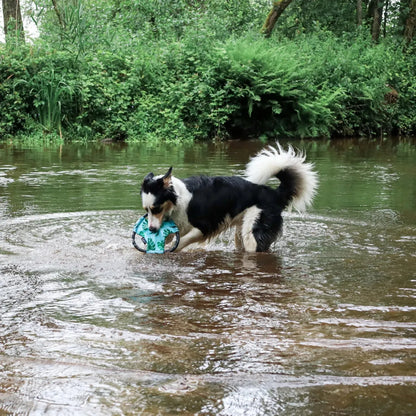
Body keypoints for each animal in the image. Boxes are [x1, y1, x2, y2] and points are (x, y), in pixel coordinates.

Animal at [141, 141, 318, 252]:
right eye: (146, 210)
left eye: (156, 208)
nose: (151, 229)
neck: (178, 201)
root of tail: (274, 193)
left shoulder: (204, 227)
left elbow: (180, 243)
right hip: (241, 231)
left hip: (253, 232)